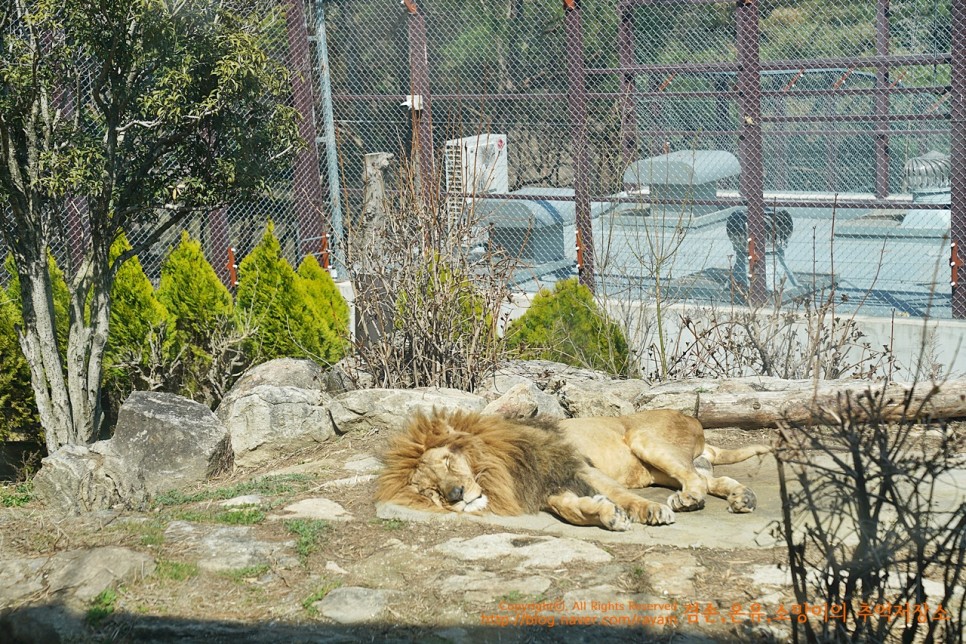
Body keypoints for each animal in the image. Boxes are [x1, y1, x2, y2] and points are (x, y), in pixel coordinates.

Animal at [376, 410, 772, 532]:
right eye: (430, 491)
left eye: (447, 462)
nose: (456, 495)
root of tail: (693, 419)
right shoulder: (548, 487)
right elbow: (569, 510)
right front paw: (604, 514)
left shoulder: (578, 465)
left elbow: (620, 494)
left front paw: (646, 510)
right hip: (655, 468)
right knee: (709, 477)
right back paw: (743, 497)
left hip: (643, 438)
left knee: (695, 480)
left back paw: (687, 499)